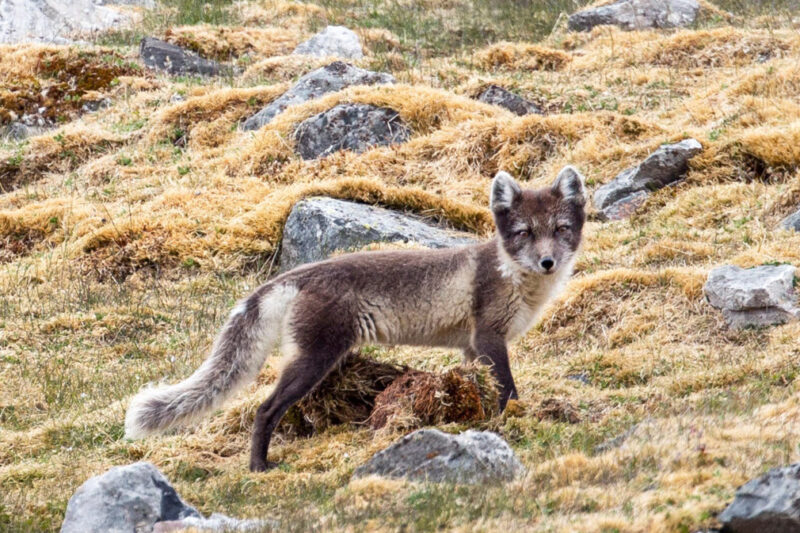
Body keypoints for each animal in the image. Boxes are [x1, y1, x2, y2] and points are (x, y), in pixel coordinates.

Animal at [125, 166, 588, 472]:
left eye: (561, 229)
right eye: (524, 232)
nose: (547, 262)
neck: (513, 276)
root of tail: (299, 274)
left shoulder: (472, 346)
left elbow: (482, 390)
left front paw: (484, 425)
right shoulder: (491, 335)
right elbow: (509, 390)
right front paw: (517, 421)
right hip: (314, 358)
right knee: (264, 409)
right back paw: (259, 467)